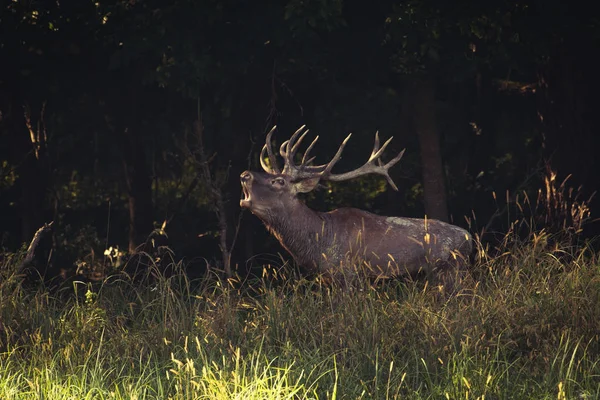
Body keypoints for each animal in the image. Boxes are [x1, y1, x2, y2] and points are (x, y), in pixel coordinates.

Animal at [240, 125, 474, 284]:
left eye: (279, 181)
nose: (244, 174)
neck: (320, 239)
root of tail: (470, 240)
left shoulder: (348, 272)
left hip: (449, 270)